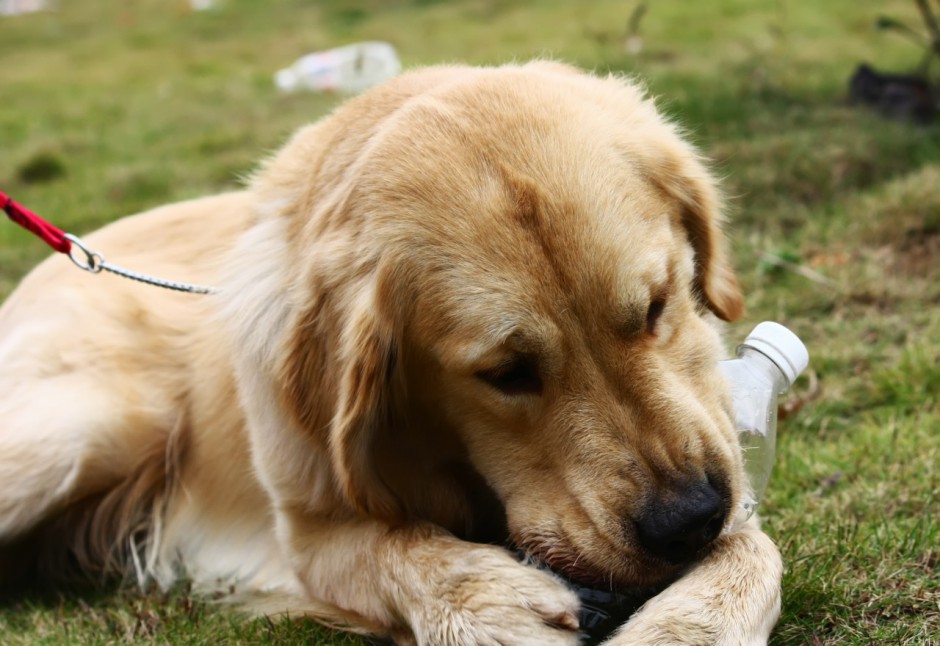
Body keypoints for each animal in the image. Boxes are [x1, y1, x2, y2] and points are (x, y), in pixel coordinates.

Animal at [0, 62, 780, 646]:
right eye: (506, 374)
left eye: (656, 307)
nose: (688, 518)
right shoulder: (310, 532)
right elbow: (394, 546)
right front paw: (487, 603)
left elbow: (756, 549)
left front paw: (687, 626)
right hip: (75, 437)